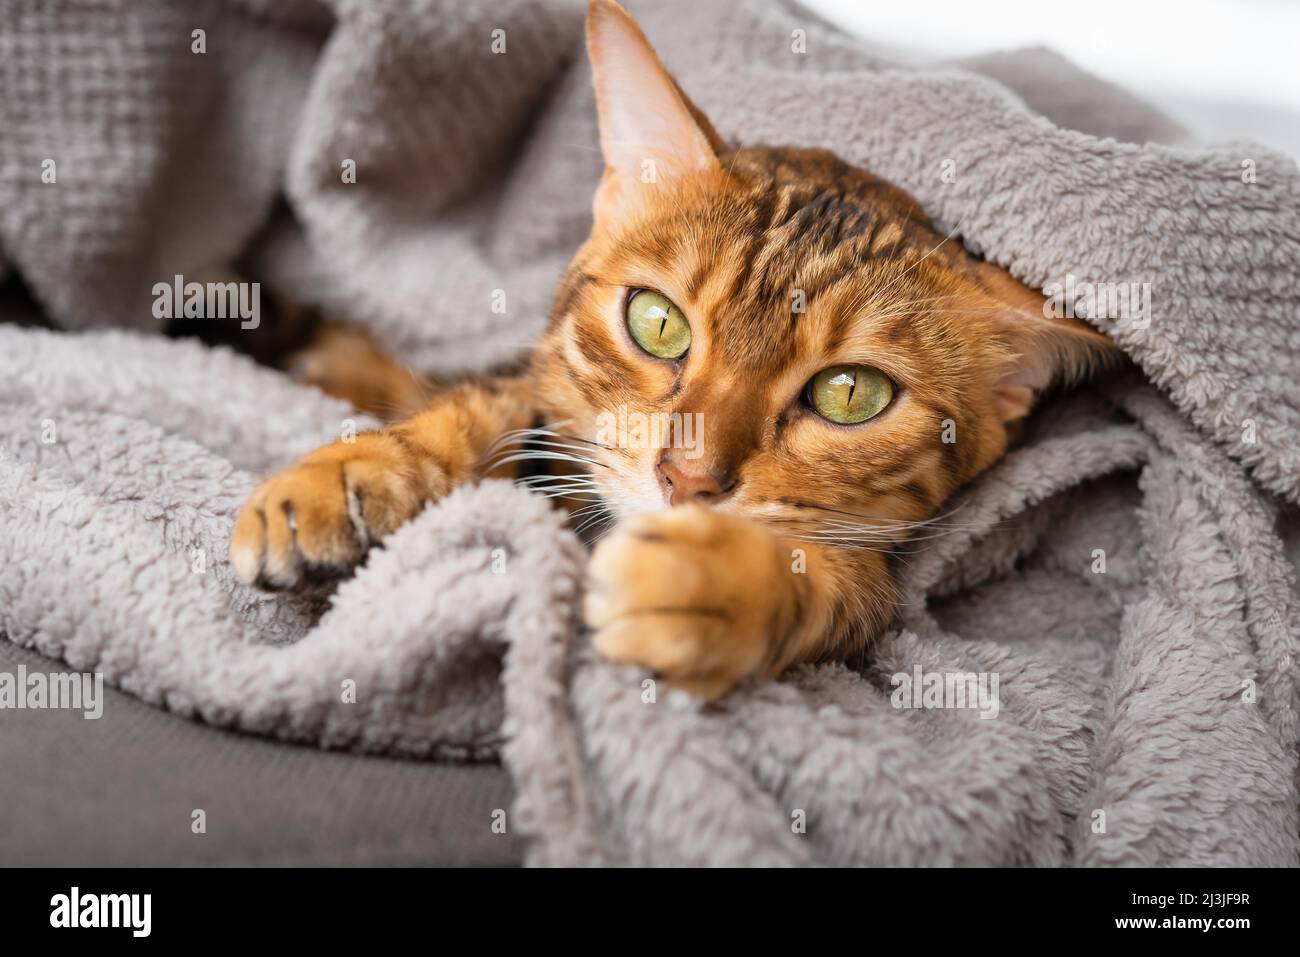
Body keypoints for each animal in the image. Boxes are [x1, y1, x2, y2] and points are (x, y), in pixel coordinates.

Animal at [226, 1, 1118, 702]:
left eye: (850, 395)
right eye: (658, 323)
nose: (688, 481)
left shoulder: (878, 588)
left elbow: (832, 585)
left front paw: (710, 583)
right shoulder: (544, 401)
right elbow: (484, 405)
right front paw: (351, 473)